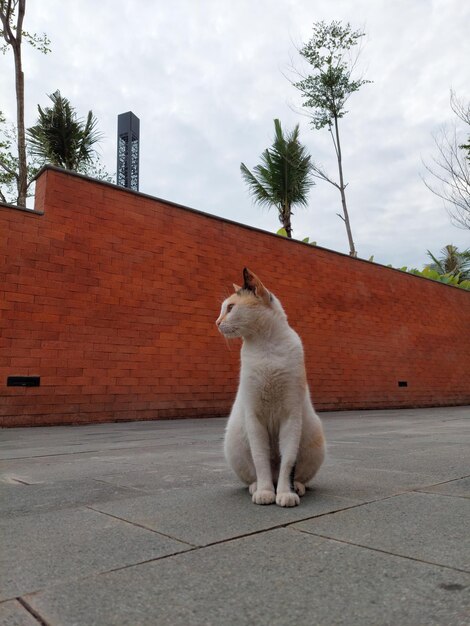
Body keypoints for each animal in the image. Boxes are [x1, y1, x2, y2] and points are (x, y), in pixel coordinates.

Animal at [216, 266, 324, 504]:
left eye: (230, 307)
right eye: (223, 309)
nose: (216, 322)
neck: (266, 348)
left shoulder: (291, 417)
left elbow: (288, 461)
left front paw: (285, 493)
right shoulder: (254, 417)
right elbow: (260, 459)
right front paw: (265, 492)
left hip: (314, 435)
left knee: (297, 473)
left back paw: (297, 487)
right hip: (233, 441)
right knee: (254, 473)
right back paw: (257, 486)